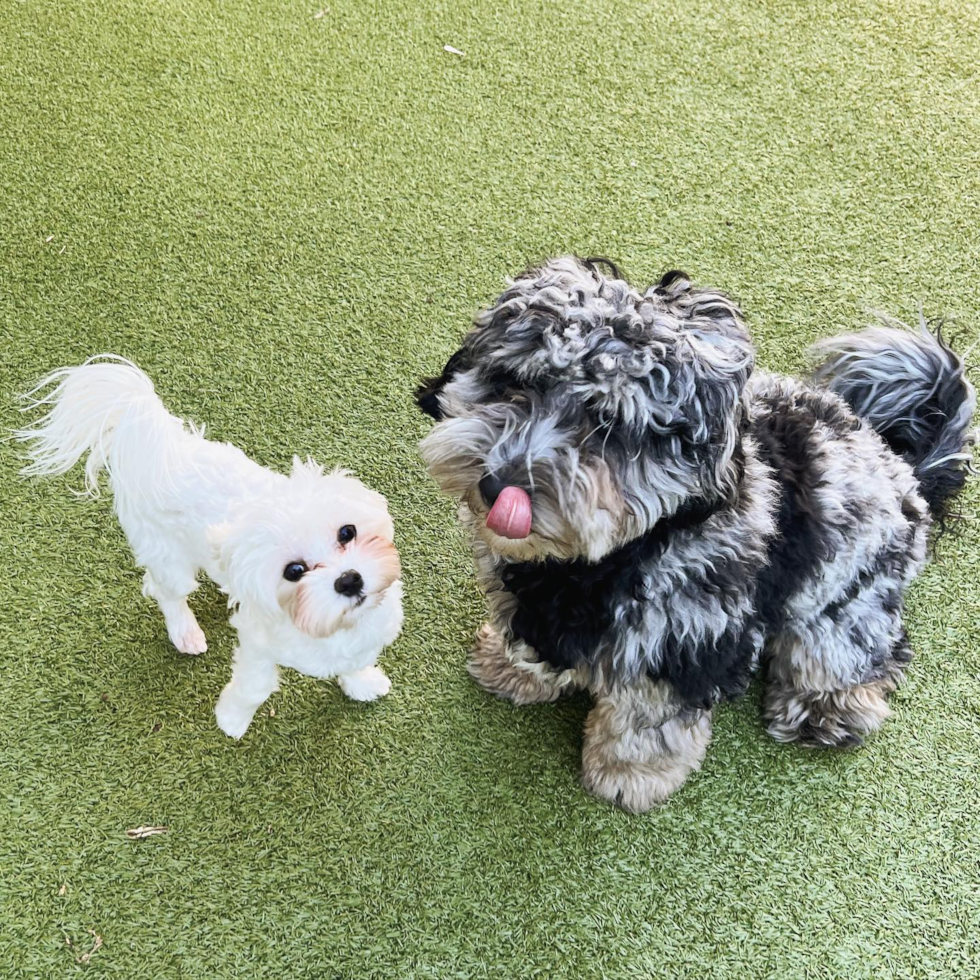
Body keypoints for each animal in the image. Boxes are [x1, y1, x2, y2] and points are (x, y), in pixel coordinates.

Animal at [17, 358, 404, 736]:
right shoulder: (256, 643)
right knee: (165, 591)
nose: (348, 580)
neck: (334, 625)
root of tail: (159, 445)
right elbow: (255, 685)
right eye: (294, 571)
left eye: (347, 532)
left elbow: (356, 660)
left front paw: (362, 682)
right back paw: (184, 632)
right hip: (168, 558)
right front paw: (232, 719)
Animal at [414, 255, 972, 812]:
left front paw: (630, 774)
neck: (597, 565)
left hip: (844, 601)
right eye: (514, 383)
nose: (495, 486)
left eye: (607, 424)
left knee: (850, 653)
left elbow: (647, 721)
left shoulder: (683, 642)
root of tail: (907, 472)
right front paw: (511, 669)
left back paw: (824, 708)